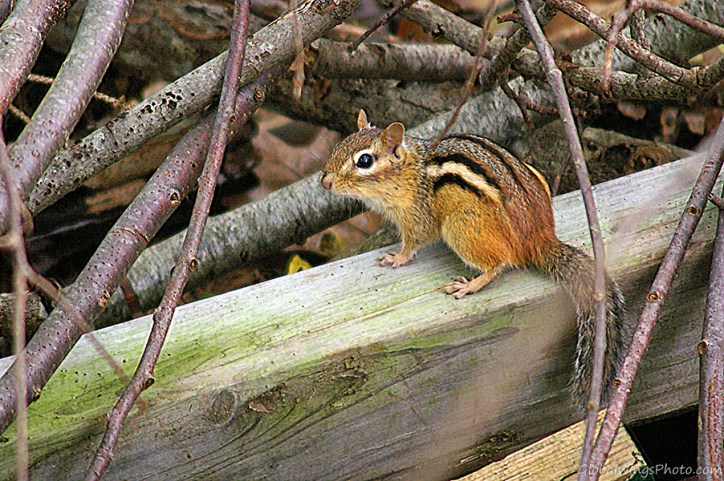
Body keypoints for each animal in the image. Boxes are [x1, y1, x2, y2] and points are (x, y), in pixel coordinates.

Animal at [320, 110, 625, 408]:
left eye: (365, 160)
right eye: (338, 146)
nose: (324, 181)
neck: (410, 171)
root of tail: (539, 236)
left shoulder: (418, 216)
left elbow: (414, 242)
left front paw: (397, 257)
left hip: (461, 228)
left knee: (499, 264)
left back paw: (469, 286)